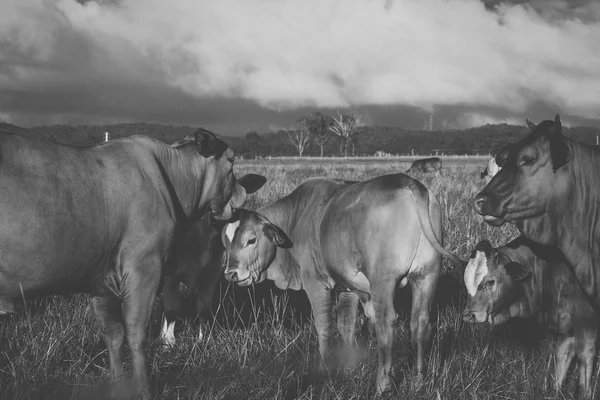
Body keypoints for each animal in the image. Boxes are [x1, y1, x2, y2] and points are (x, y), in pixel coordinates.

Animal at [158, 173, 266, 346]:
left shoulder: (211, 274)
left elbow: (204, 308)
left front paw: (203, 340)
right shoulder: (169, 276)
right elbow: (172, 307)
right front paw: (168, 342)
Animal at [220, 174, 464, 394]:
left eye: (251, 240)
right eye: (226, 242)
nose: (231, 274)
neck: (298, 215)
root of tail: (410, 183)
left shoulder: (315, 282)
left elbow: (324, 326)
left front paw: (323, 370)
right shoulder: (349, 288)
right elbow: (346, 325)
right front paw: (348, 368)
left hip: (383, 281)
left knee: (385, 324)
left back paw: (382, 385)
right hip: (427, 275)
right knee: (420, 322)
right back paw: (418, 380)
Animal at [464, 236, 596, 398]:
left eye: (490, 281)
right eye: (466, 282)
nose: (469, 315)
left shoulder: (587, 321)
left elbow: (585, 356)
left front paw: (585, 394)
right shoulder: (564, 322)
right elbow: (562, 355)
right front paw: (556, 390)